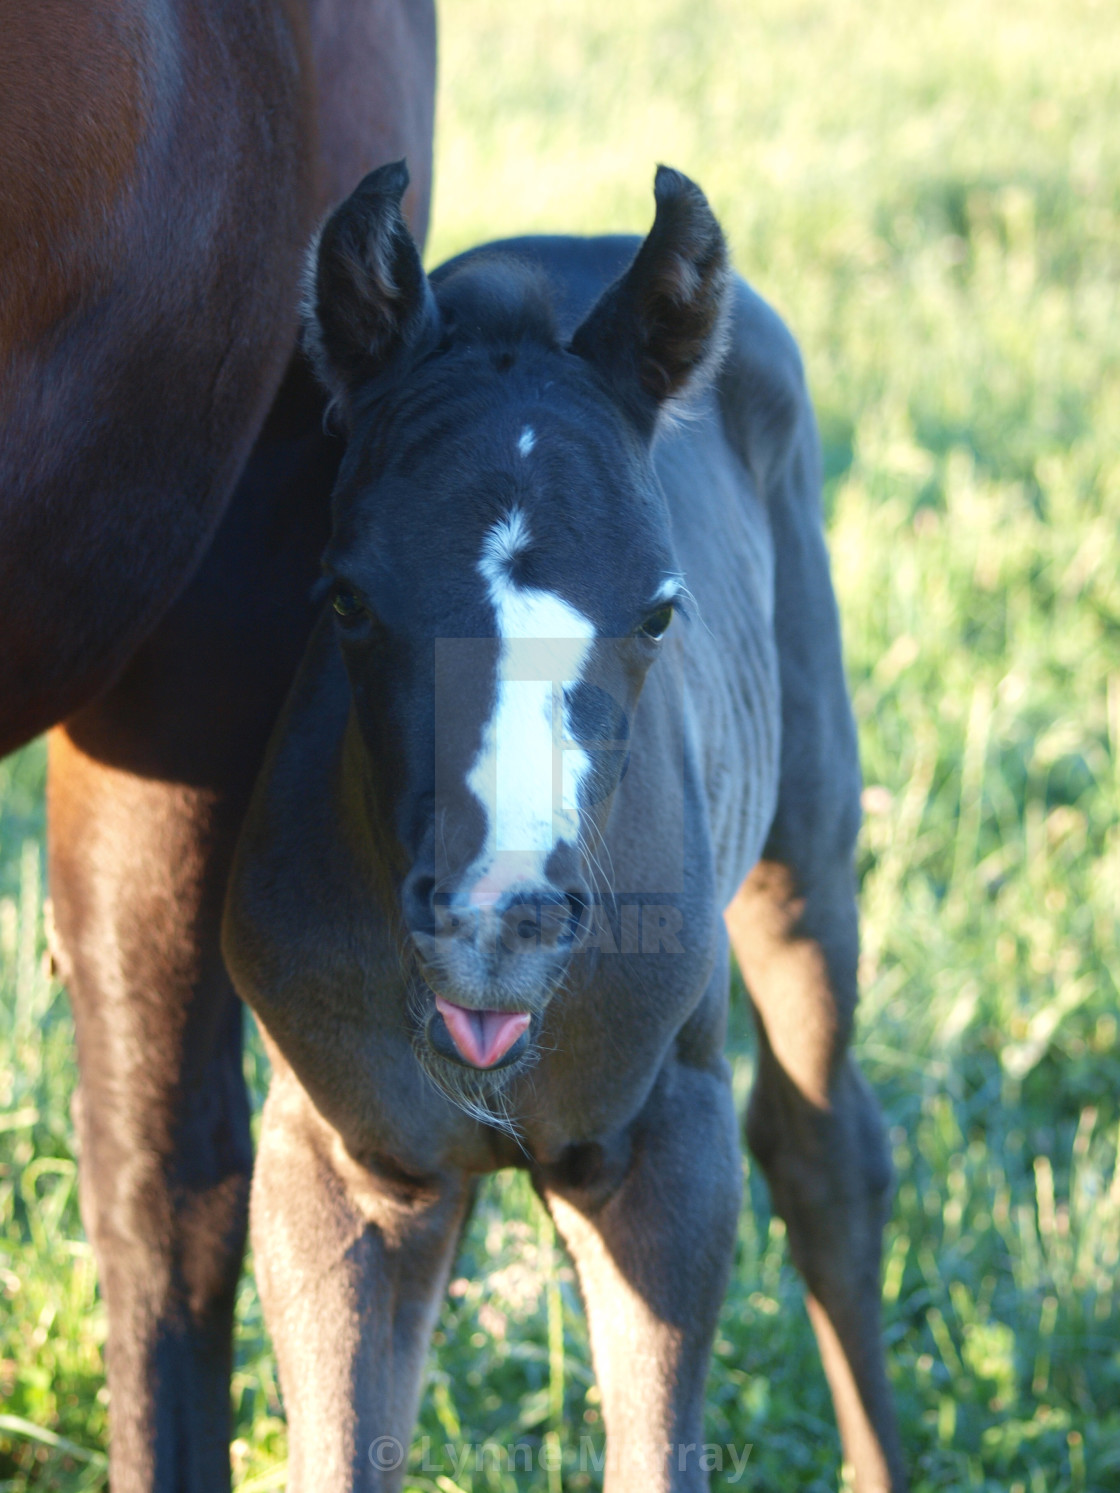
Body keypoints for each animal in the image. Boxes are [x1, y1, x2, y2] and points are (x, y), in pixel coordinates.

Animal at [224, 163, 907, 1493]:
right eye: (345, 598)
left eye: (659, 610)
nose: (498, 922)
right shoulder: (342, 1164)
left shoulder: (662, 1151)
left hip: (806, 852)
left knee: (824, 1151)